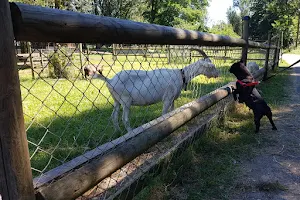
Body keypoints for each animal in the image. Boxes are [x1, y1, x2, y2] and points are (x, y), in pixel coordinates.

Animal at [84, 49, 218, 131]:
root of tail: (110, 80)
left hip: (117, 100)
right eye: (211, 66)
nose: (218, 74)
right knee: (124, 118)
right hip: (126, 101)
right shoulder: (167, 98)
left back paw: (118, 131)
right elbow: (164, 113)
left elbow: (172, 111)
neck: (181, 75)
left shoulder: (173, 99)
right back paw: (130, 131)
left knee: (114, 116)